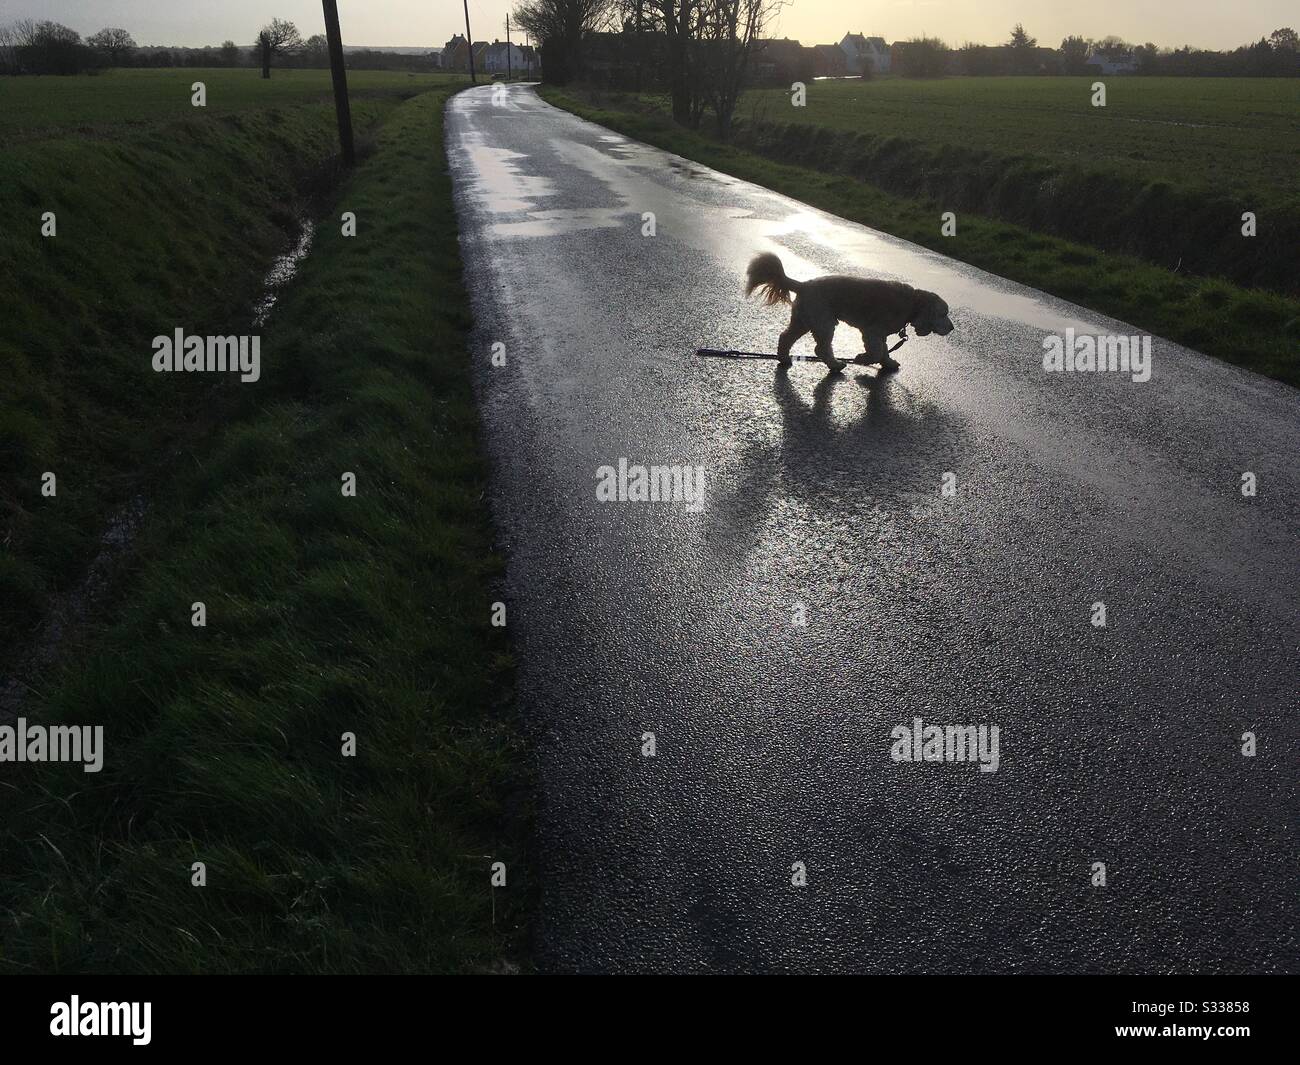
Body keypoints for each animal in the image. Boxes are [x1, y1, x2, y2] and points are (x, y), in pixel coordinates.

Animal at [743, 252, 956, 371]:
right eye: (943, 313)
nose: (952, 328)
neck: (912, 302)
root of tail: (803, 285)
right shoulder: (872, 332)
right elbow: (877, 352)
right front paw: (863, 359)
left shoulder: (879, 335)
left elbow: (884, 351)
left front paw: (888, 364)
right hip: (824, 323)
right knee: (821, 349)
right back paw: (836, 365)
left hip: (803, 321)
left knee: (785, 338)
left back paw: (785, 358)